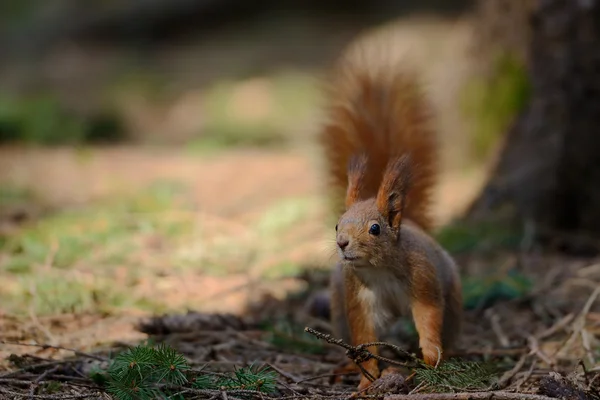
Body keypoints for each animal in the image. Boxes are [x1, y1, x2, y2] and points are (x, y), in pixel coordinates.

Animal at [318, 51, 464, 390]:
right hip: (337, 307)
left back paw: (449, 354)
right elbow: (364, 336)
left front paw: (430, 356)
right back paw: (347, 366)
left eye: (375, 228)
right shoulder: (356, 295)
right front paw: (367, 380)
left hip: (452, 294)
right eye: (336, 224)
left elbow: (428, 316)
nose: (342, 243)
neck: (380, 268)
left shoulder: (424, 278)